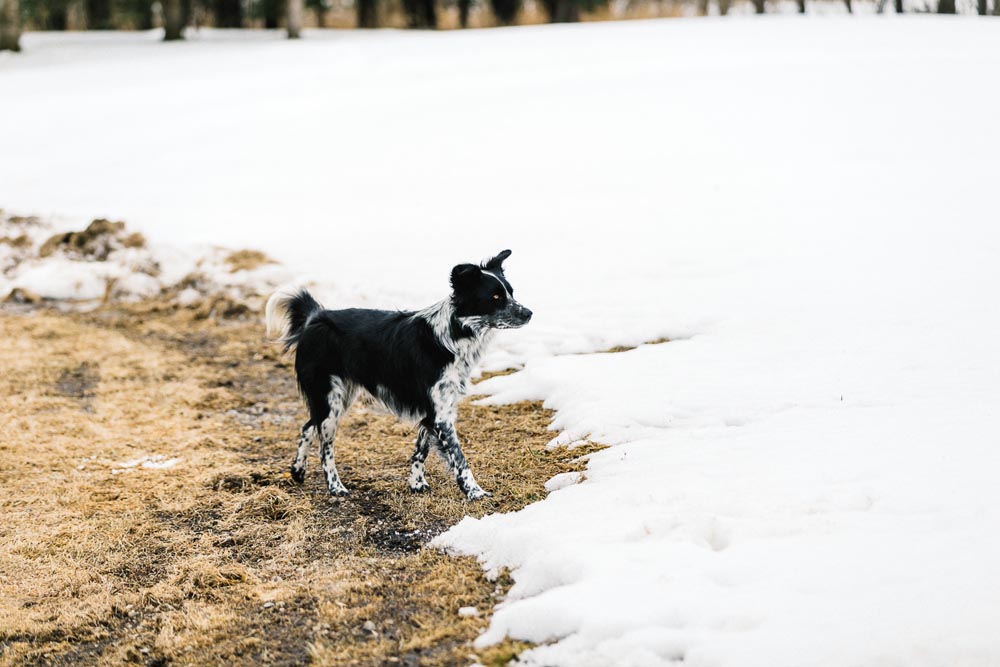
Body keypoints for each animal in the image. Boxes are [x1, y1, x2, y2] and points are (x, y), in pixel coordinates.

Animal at [266, 250, 532, 500]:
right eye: (495, 297)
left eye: (511, 292)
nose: (529, 313)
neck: (454, 333)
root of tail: (315, 317)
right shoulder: (441, 416)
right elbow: (459, 459)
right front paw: (474, 492)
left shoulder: (435, 411)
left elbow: (421, 450)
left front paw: (416, 483)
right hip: (330, 400)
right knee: (325, 447)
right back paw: (335, 486)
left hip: (338, 398)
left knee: (308, 426)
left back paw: (298, 471)